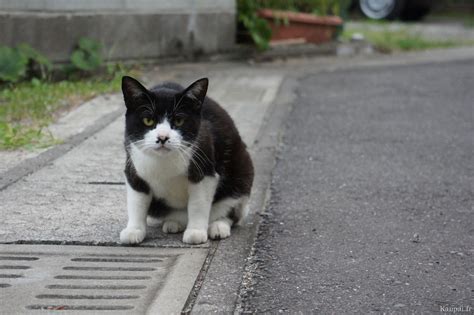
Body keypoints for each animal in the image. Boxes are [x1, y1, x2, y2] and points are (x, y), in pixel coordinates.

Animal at [119, 76, 252, 247]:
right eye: (148, 120)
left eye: (179, 120)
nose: (162, 137)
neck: (164, 161)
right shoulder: (133, 165)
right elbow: (136, 200)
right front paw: (133, 230)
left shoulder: (204, 169)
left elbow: (198, 203)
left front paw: (195, 232)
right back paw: (173, 223)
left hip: (242, 172)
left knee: (231, 210)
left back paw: (218, 225)